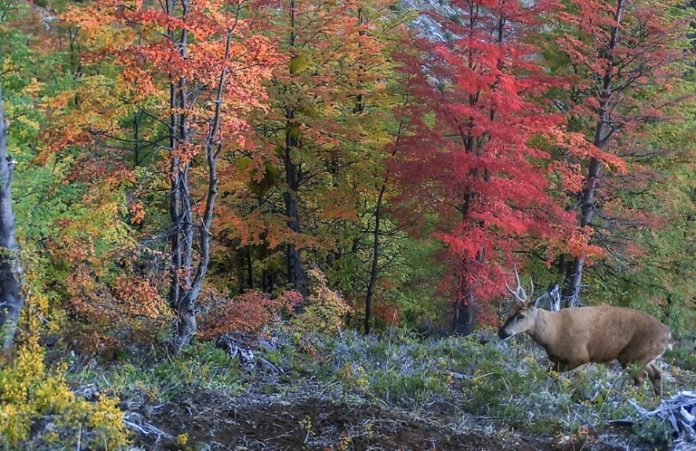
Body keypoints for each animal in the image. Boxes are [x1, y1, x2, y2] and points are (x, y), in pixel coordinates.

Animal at [500, 270, 676, 398]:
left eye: (521, 316)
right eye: (510, 310)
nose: (502, 332)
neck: (552, 334)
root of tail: (668, 336)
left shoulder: (579, 356)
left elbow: (553, 374)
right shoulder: (557, 358)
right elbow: (550, 373)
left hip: (633, 356)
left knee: (642, 377)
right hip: (645, 357)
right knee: (656, 374)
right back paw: (655, 402)